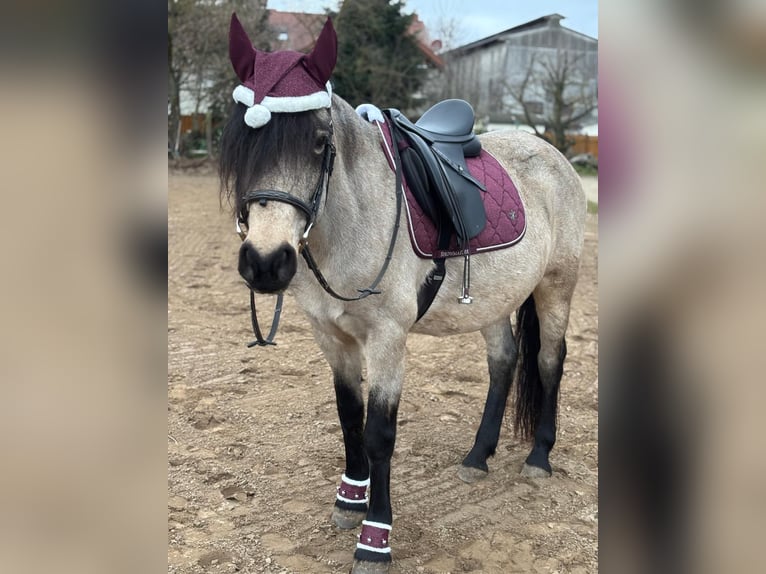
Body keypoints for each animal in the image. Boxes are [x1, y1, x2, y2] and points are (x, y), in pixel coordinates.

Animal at [219, 16, 586, 574]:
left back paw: (539, 456)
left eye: (319, 141)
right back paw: (478, 456)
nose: (264, 262)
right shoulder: (332, 337)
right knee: (504, 362)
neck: (352, 219)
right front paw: (349, 499)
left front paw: (375, 537)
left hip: (556, 286)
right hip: (494, 299)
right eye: (239, 137)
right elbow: (349, 417)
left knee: (548, 360)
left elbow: (379, 433)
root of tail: (551, 153)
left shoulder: (387, 339)